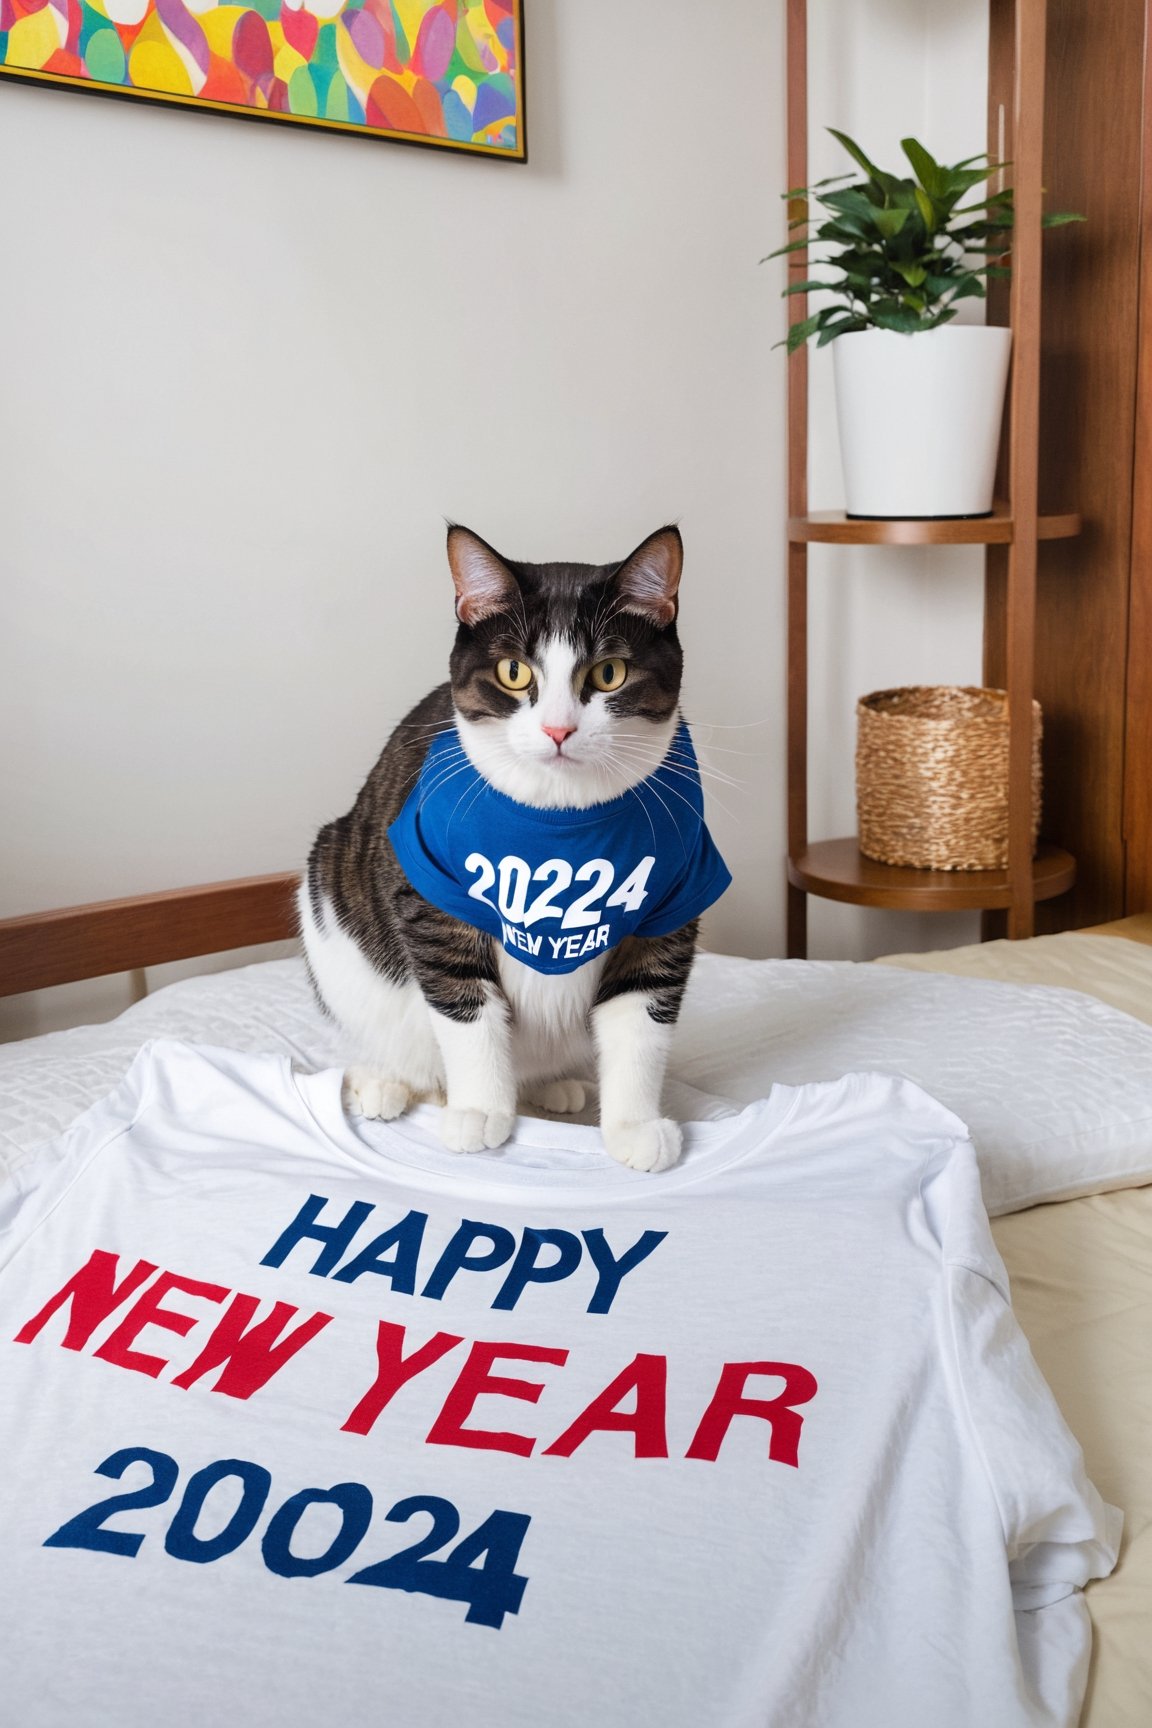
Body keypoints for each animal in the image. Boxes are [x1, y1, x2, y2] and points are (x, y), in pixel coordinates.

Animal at [300, 525, 728, 1175]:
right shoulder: (431, 896)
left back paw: (554, 1085)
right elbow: (467, 1006)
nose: (557, 730)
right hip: (329, 902)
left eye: (609, 673)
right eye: (513, 672)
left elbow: (641, 1016)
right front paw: (480, 1111)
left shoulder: (673, 894)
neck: (562, 813)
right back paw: (384, 1082)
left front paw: (633, 1126)